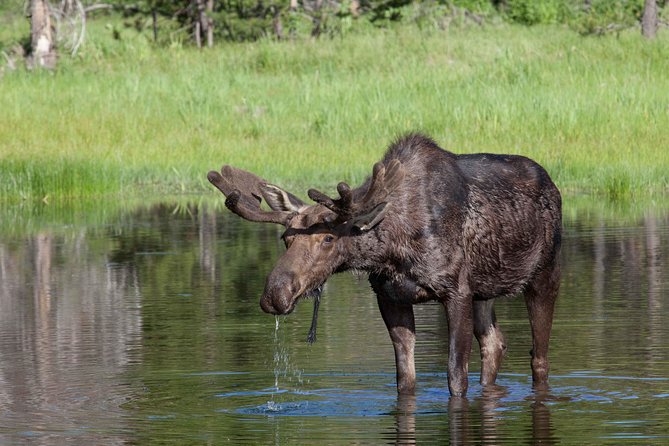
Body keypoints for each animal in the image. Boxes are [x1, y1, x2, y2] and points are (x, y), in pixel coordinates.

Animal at [207, 133, 560, 398]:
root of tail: (553, 185)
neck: (392, 249)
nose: (274, 295)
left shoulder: (456, 290)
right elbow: (405, 377)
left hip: (544, 273)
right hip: (485, 291)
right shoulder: (390, 296)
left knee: (539, 358)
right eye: (285, 238)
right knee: (494, 343)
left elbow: (456, 376)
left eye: (328, 239)